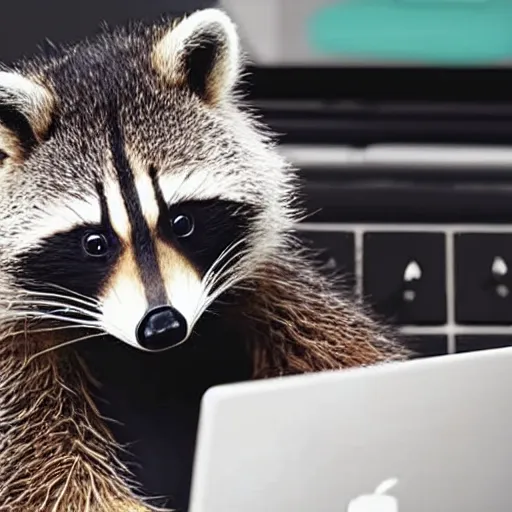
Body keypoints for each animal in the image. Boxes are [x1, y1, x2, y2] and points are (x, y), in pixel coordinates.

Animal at [0, 8, 410, 512]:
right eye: (95, 242)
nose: (162, 326)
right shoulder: (15, 365)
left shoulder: (279, 295)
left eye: (182, 222)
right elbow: (50, 481)